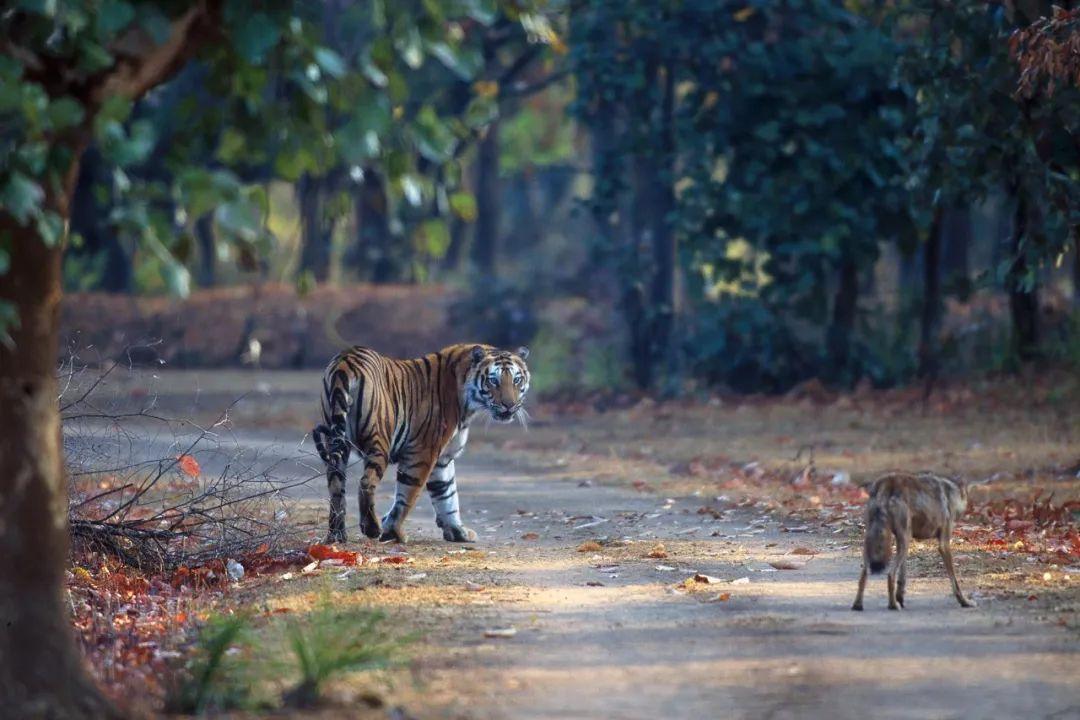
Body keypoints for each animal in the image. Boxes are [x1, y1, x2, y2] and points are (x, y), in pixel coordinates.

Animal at [311, 343, 529, 539]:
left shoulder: (443, 458)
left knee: (336, 487)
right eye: (493, 381)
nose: (509, 405)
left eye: (517, 380)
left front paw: (458, 531)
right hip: (379, 441)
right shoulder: (422, 452)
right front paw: (393, 531)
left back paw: (336, 535)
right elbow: (407, 495)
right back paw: (372, 528)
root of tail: (345, 362)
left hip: (336, 444)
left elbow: (447, 493)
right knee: (366, 482)